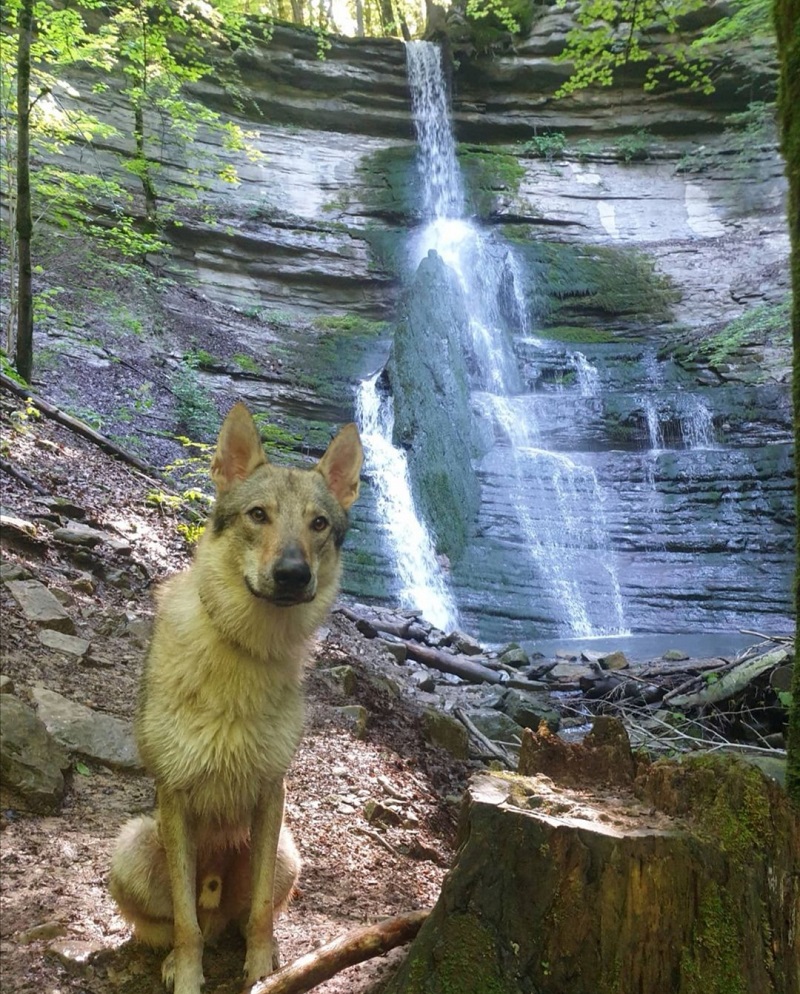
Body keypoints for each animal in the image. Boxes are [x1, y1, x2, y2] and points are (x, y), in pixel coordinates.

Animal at [108, 404, 362, 992]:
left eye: (318, 524)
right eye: (258, 515)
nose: (292, 574)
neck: (246, 649)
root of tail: (216, 900)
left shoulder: (272, 792)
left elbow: (263, 911)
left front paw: (263, 968)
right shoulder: (175, 795)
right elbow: (184, 922)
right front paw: (187, 975)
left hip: (289, 850)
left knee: (243, 916)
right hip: (132, 845)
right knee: (174, 924)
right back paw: (172, 957)